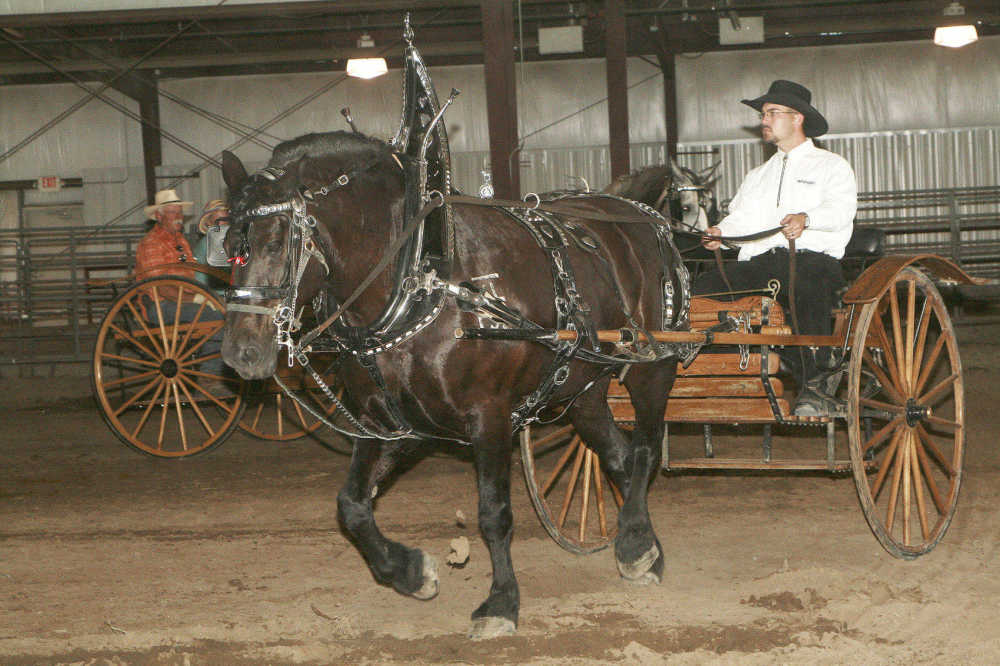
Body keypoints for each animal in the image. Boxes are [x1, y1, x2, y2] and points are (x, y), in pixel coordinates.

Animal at [220, 131, 692, 640]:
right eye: (228, 244)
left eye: (275, 243)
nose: (241, 351)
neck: (421, 284)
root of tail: (639, 212)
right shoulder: (388, 423)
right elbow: (352, 505)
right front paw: (411, 572)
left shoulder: (490, 416)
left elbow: (493, 513)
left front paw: (501, 603)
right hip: (581, 387)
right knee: (619, 456)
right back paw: (643, 545)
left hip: (652, 366)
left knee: (644, 449)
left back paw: (634, 543)